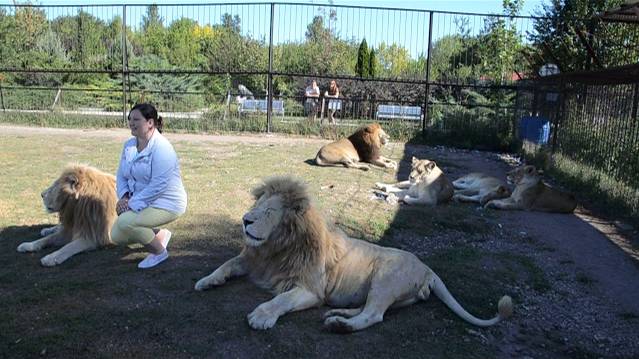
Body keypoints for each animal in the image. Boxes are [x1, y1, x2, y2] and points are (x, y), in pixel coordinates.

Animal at [196, 176, 516, 334]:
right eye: (257, 204)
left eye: (269, 211)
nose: (245, 220)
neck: (275, 248)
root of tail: (427, 268)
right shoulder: (255, 261)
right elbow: (227, 264)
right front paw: (207, 280)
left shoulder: (311, 289)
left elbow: (280, 300)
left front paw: (262, 316)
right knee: (369, 310)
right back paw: (338, 313)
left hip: (386, 278)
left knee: (374, 316)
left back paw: (340, 326)